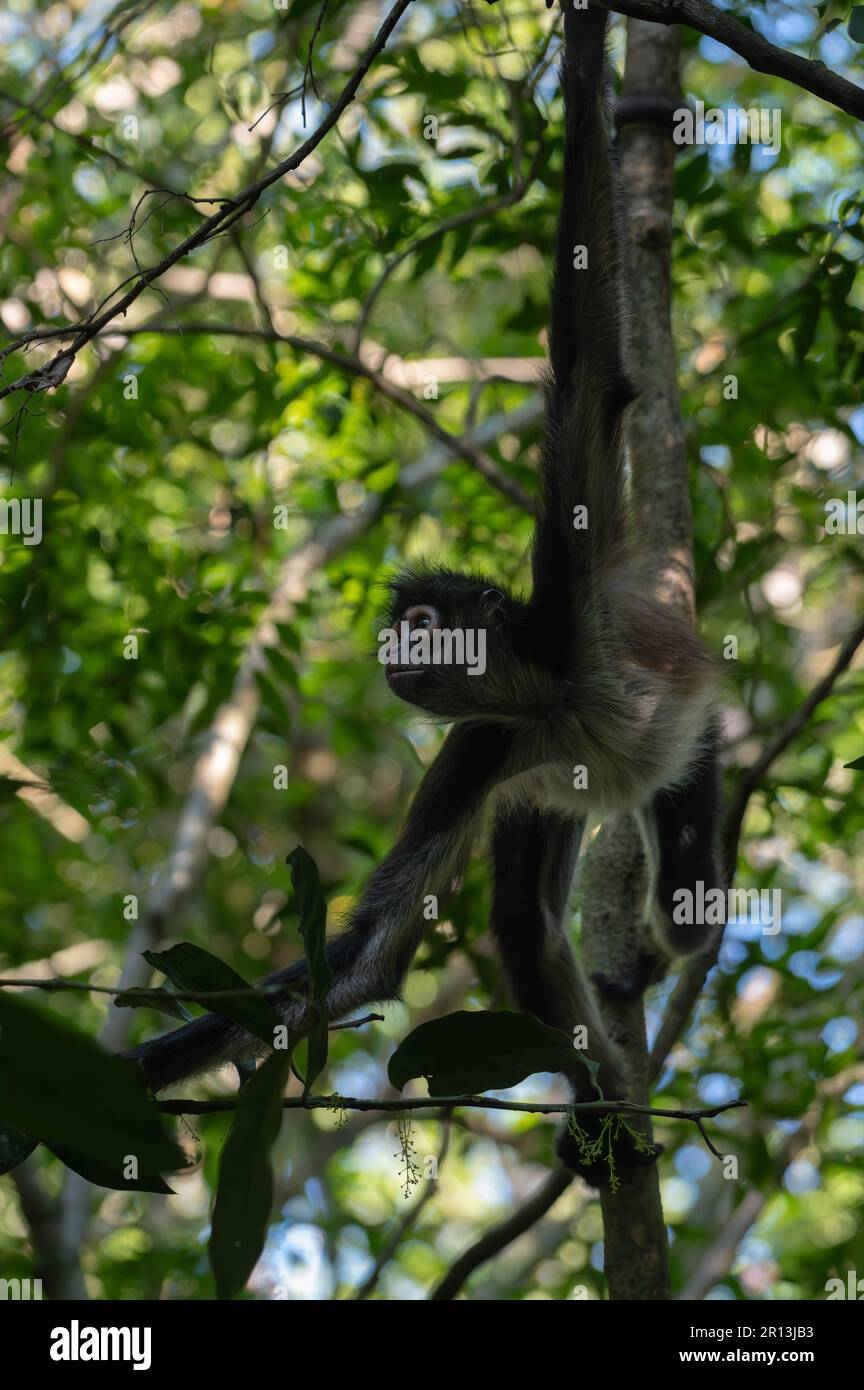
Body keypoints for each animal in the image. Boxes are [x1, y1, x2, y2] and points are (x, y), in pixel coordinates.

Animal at [127, 5, 723, 1183]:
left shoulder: (562, 610)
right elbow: (362, 961)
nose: (392, 658)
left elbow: (592, 371)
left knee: (687, 878)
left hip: (692, 715)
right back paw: (599, 1109)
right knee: (525, 922)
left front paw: (581, 50)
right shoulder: (486, 745)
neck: (550, 692)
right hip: (537, 790)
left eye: (418, 628)